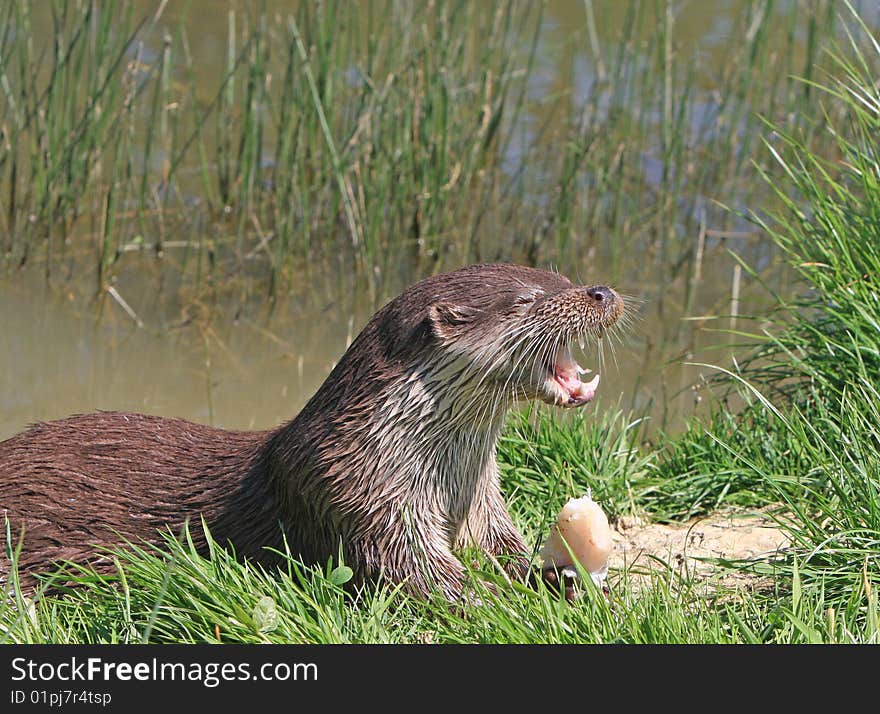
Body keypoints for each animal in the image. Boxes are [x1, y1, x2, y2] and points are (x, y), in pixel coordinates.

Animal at [0, 262, 624, 596]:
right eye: (530, 299)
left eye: (562, 274)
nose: (603, 291)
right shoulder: (362, 503)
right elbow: (424, 577)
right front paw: (494, 599)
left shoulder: (482, 509)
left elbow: (506, 551)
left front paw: (564, 581)